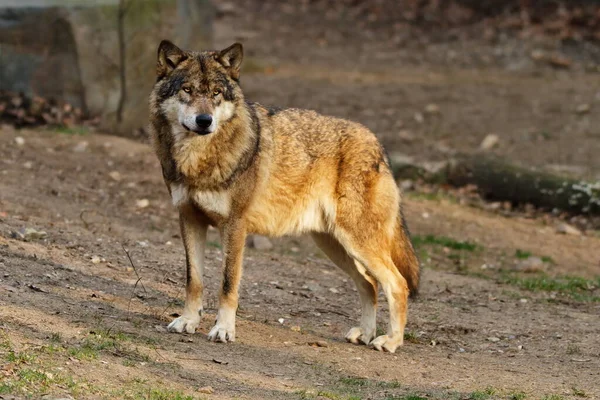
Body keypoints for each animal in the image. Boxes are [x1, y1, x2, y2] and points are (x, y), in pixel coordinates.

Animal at [149, 41, 420, 354]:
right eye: (188, 90)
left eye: (216, 93)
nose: (204, 121)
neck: (198, 159)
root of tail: (378, 145)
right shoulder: (189, 219)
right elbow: (194, 280)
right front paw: (188, 321)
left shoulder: (235, 226)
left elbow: (228, 284)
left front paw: (223, 330)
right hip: (335, 246)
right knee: (370, 285)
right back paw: (365, 333)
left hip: (357, 243)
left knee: (397, 284)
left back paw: (390, 341)